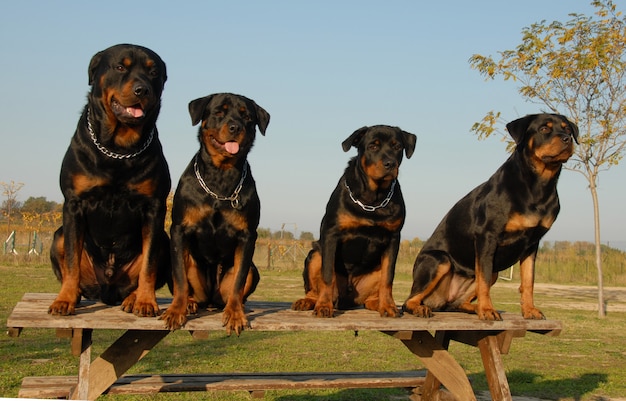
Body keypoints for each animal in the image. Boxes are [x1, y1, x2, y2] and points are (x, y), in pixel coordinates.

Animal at [48, 43, 171, 316]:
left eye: (153, 72)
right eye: (120, 67)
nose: (142, 89)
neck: (119, 149)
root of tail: (108, 290)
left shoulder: (154, 207)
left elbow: (149, 264)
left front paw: (146, 301)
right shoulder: (74, 204)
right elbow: (71, 260)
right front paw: (64, 299)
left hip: (166, 240)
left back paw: (133, 298)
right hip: (58, 236)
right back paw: (75, 295)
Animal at [292, 126, 414, 318]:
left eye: (397, 147)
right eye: (373, 146)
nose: (390, 164)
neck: (373, 199)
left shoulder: (393, 238)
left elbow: (388, 278)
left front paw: (388, 306)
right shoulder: (331, 234)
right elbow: (327, 275)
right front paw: (323, 306)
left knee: (372, 294)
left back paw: (378, 303)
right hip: (314, 255)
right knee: (314, 287)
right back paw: (308, 301)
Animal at [402, 114, 576, 320]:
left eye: (568, 129)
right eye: (544, 129)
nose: (567, 139)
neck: (538, 185)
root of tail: (440, 300)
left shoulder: (532, 244)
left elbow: (528, 281)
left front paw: (529, 310)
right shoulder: (487, 236)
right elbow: (483, 280)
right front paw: (487, 310)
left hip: (493, 272)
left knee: (458, 303)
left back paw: (474, 308)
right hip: (439, 260)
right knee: (409, 301)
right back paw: (421, 308)